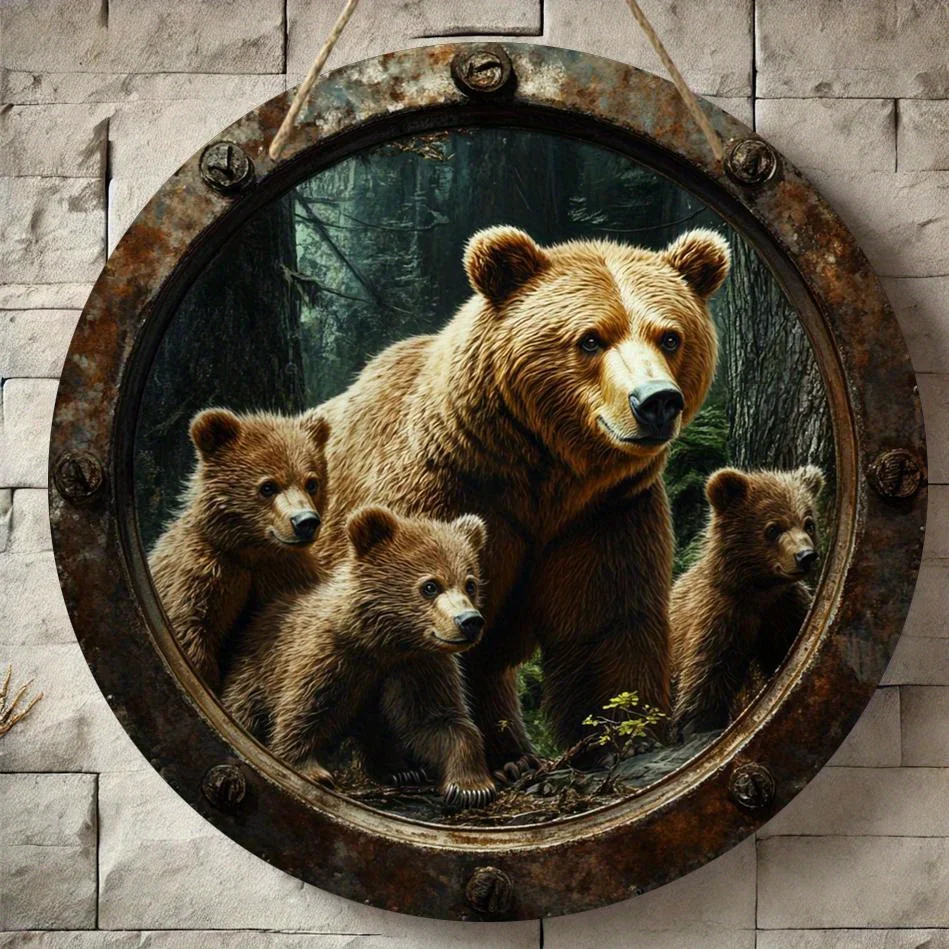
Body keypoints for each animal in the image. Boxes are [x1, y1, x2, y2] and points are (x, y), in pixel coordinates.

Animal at [148, 408, 330, 691]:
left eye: (312, 482)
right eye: (268, 486)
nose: (305, 522)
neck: (251, 552)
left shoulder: (284, 574)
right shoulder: (200, 578)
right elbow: (191, 635)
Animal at [221, 505, 496, 809]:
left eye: (470, 584)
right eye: (430, 586)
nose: (469, 621)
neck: (386, 644)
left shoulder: (417, 667)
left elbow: (437, 720)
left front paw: (471, 787)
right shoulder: (331, 657)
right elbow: (305, 709)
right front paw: (309, 770)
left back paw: (401, 770)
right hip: (253, 673)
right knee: (243, 707)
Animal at [312, 224, 729, 771]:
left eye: (671, 336)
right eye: (591, 338)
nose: (657, 400)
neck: (541, 479)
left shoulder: (602, 514)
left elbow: (605, 621)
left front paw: (626, 736)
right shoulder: (441, 495)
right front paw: (410, 758)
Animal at [670, 465, 825, 735]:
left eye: (809, 524)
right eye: (773, 528)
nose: (806, 556)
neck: (759, 591)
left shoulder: (785, 611)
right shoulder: (720, 617)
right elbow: (706, 675)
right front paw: (697, 725)